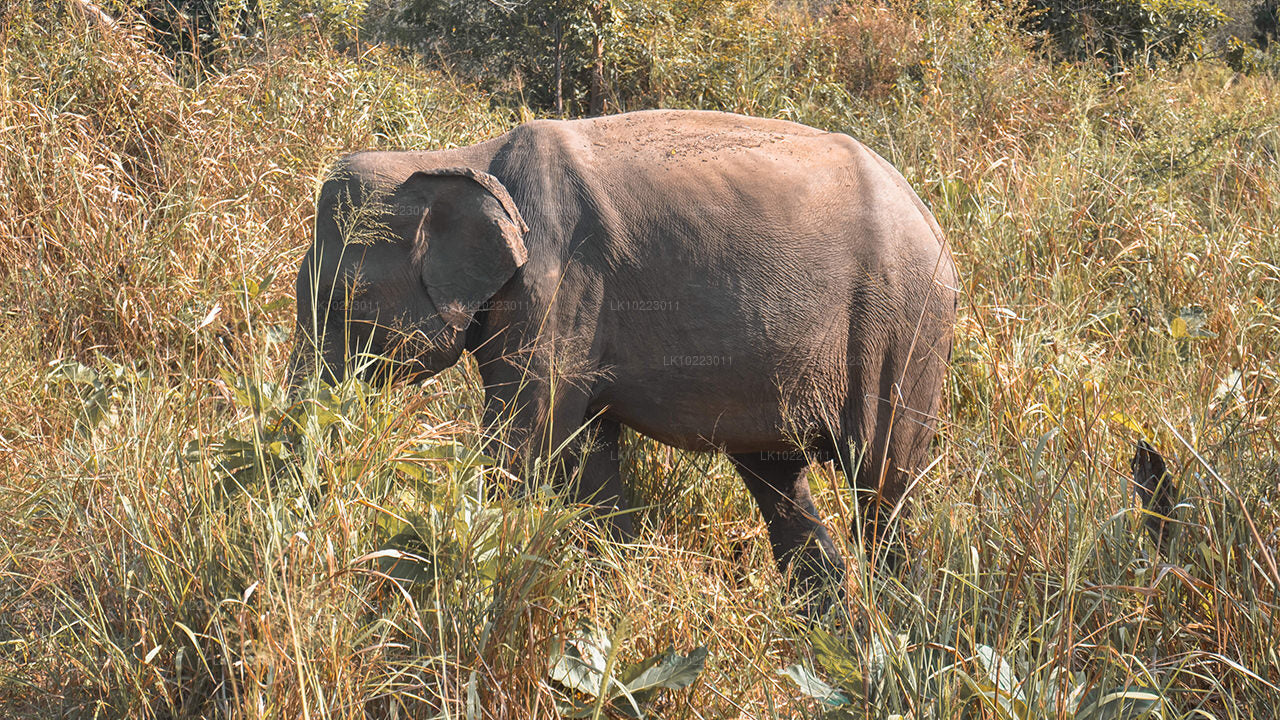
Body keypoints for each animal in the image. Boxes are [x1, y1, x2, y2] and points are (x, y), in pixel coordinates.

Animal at [285, 109, 957, 594]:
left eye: (347, 295)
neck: (458, 159)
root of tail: (930, 217)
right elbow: (589, 451)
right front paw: (619, 578)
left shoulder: (557, 286)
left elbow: (527, 438)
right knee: (779, 480)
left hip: (901, 327)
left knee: (883, 481)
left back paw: (894, 619)